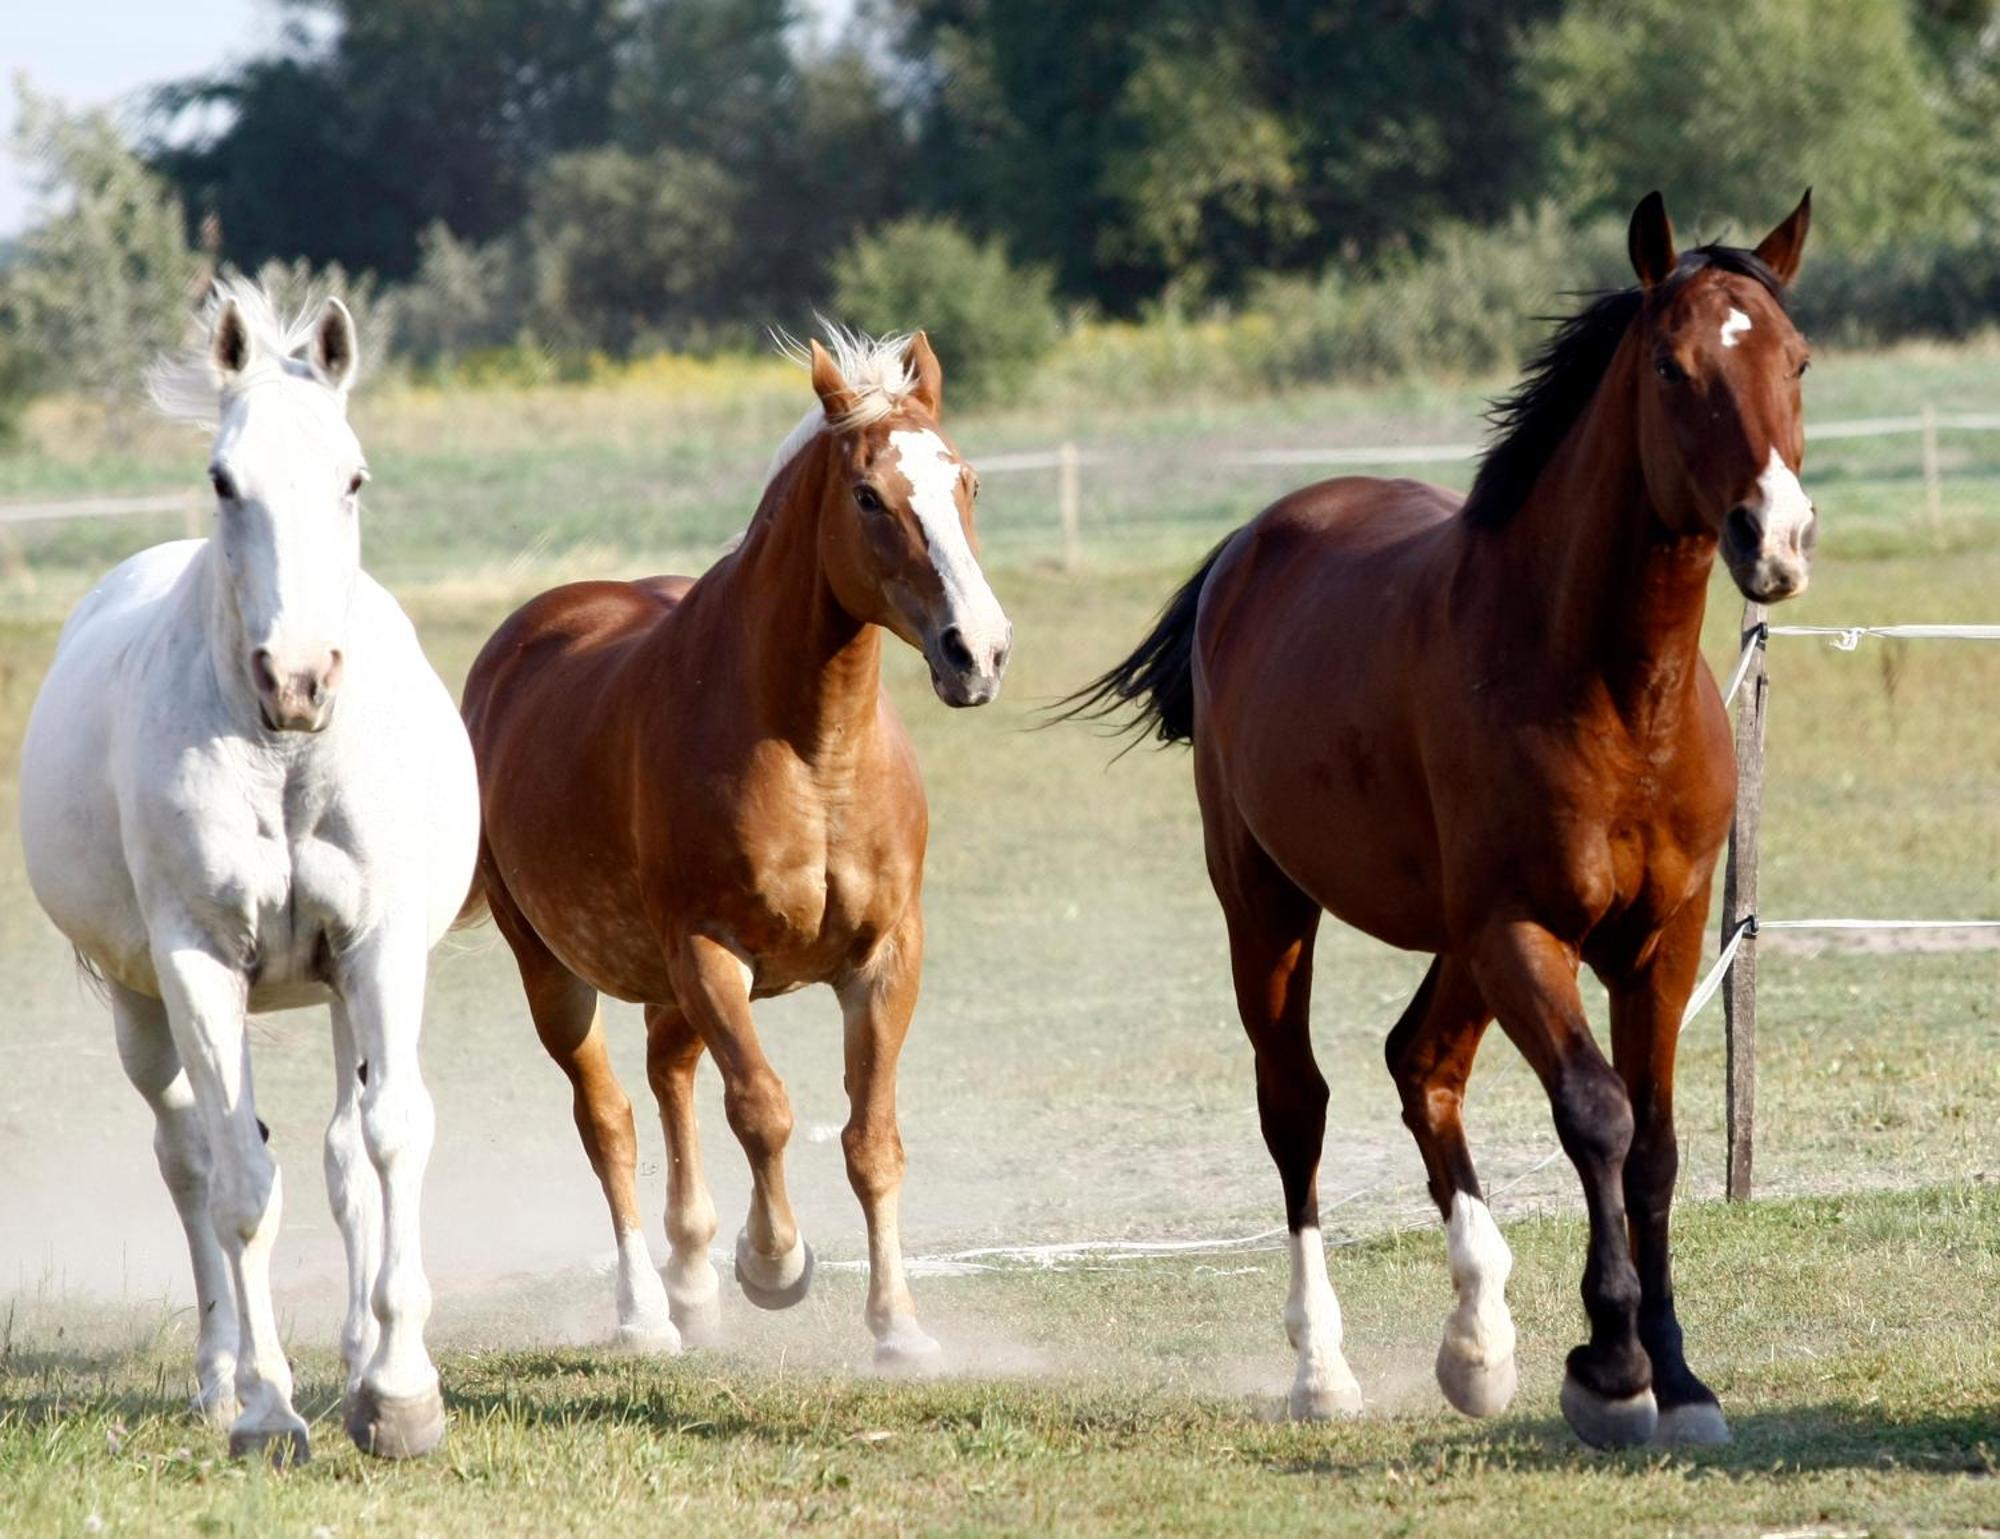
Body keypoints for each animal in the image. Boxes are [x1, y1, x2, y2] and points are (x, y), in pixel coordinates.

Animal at [20, 281, 480, 1455]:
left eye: (353, 477)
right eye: (225, 480)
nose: (299, 680)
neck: (283, 760)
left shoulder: (379, 947)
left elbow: (390, 1139)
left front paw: (400, 1391)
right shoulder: (196, 962)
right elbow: (239, 1179)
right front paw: (270, 1410)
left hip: (337, 988)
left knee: (343, 1155)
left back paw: (356, 1360)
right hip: (141, 1004)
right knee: (188, 1158)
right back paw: (221, 1377)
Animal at [460, 329, 1008, 1359]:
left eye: (967, 481)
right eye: (868, 496)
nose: (978, 651)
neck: (814, 752)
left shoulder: (886, 956)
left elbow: (872, 1141)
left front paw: (898, 1327)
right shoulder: (711, 954)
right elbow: (763, 1109)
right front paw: (774, 1263)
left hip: (664, 984)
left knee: (668, 1078)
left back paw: (689, 1274)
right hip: (556, 970)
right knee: (610, 1120)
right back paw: (645, 1308)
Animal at [1072, 191, 1824, 1439]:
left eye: (1796, 360)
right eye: (1670, 369)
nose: (1773, 539)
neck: (1607, 686)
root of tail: (1249, 545)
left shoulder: (1656, 947)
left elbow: (1657, 1148)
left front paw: (1675, 1376)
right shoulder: (1521, 931)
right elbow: (1597, 1116)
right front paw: (1609, 1369)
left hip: (1455, 942)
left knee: (1419, 1063)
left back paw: (1477, 1343)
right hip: (1270, 908)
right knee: (1297, 1105)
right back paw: (1322, 1371)